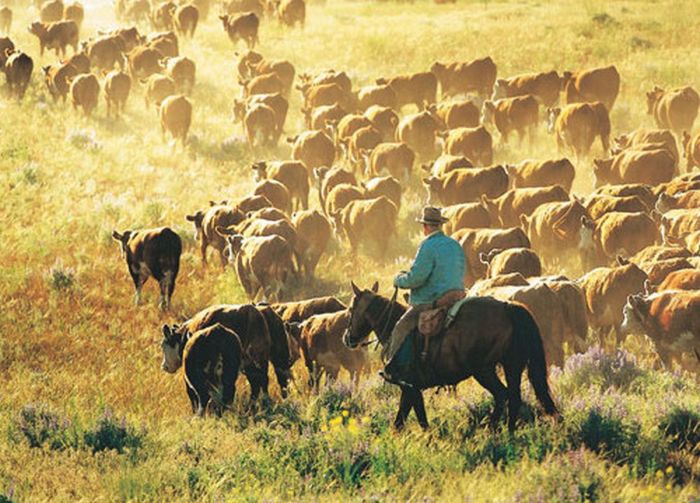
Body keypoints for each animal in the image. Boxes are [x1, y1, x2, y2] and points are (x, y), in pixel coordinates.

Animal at [340, 282, 556, 432]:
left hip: (484, 371)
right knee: (514, 397)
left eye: (351, 309)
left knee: (502, 395)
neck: (393, 325)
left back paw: (490, 430)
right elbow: (406, 417)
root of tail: (507, 307)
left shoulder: (409, 386)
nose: (347, 338)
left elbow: (412, 418)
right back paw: (508, 432)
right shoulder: (410, 388)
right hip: (512, 366)